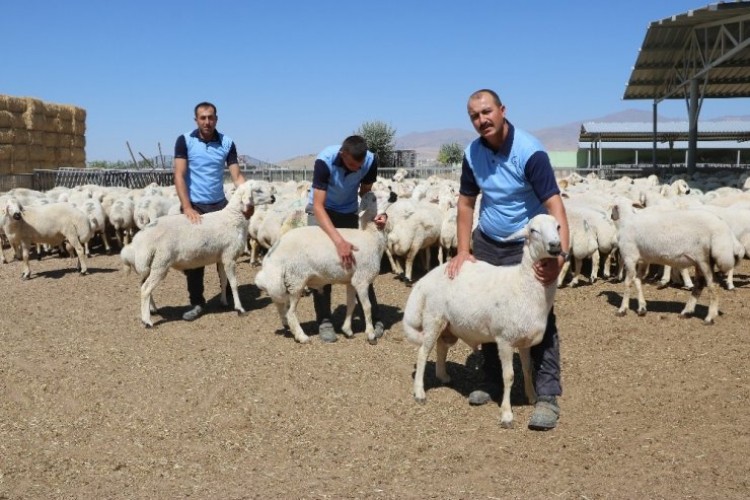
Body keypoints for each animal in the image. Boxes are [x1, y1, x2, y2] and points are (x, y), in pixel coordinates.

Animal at [122, 180, 278, 328]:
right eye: (258, 190)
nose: (273, 198)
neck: (233, 217)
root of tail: (140, 238)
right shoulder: (229, 256)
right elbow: (233, 283)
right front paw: (239, 308)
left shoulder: (221, 257)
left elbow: (223, 280)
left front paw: (224, 302)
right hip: (160, 263)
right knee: (145, 289)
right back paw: (147, 321)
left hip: (150, 264)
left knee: (143, 285)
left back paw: (153, 310)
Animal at [256, 190, 396, 344]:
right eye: (374, 198)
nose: (393, 195)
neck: (370, 236)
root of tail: (274, 254)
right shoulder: (362, 279)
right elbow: (367, 307)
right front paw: (370, 334)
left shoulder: (351, 280)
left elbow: (351, 304)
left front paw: (347, 330)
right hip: (296, 280)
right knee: (290, 312)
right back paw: (301, 336)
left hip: (283, 281)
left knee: (280, 303)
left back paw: (286, 324)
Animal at [402, 213, 560, 428]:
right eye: (533, 230)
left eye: (558, 227)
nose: (555, 245)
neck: (522, 286)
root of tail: (426, 279)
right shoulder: (504, 339)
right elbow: (509, 376)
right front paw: (506, 414)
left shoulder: (524, 340)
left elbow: (528, 369)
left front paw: (533, 397)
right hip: (433, 317)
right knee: (422, 353)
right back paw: (419, 392)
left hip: (447, 325)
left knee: (441, 347)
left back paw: (443, 376)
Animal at [612, 199, 740, 324]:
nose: (611, 216)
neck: (625, 222)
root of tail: (723, 228)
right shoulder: (644, 260)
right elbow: (638, 280)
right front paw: (642, 308)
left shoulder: (630, 256)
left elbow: (628, 283)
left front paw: (622, 309)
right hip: (701, 261)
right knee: (699, 285)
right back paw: (686, 312)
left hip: (704, 259)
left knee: (712, 285)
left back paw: (709, 317)